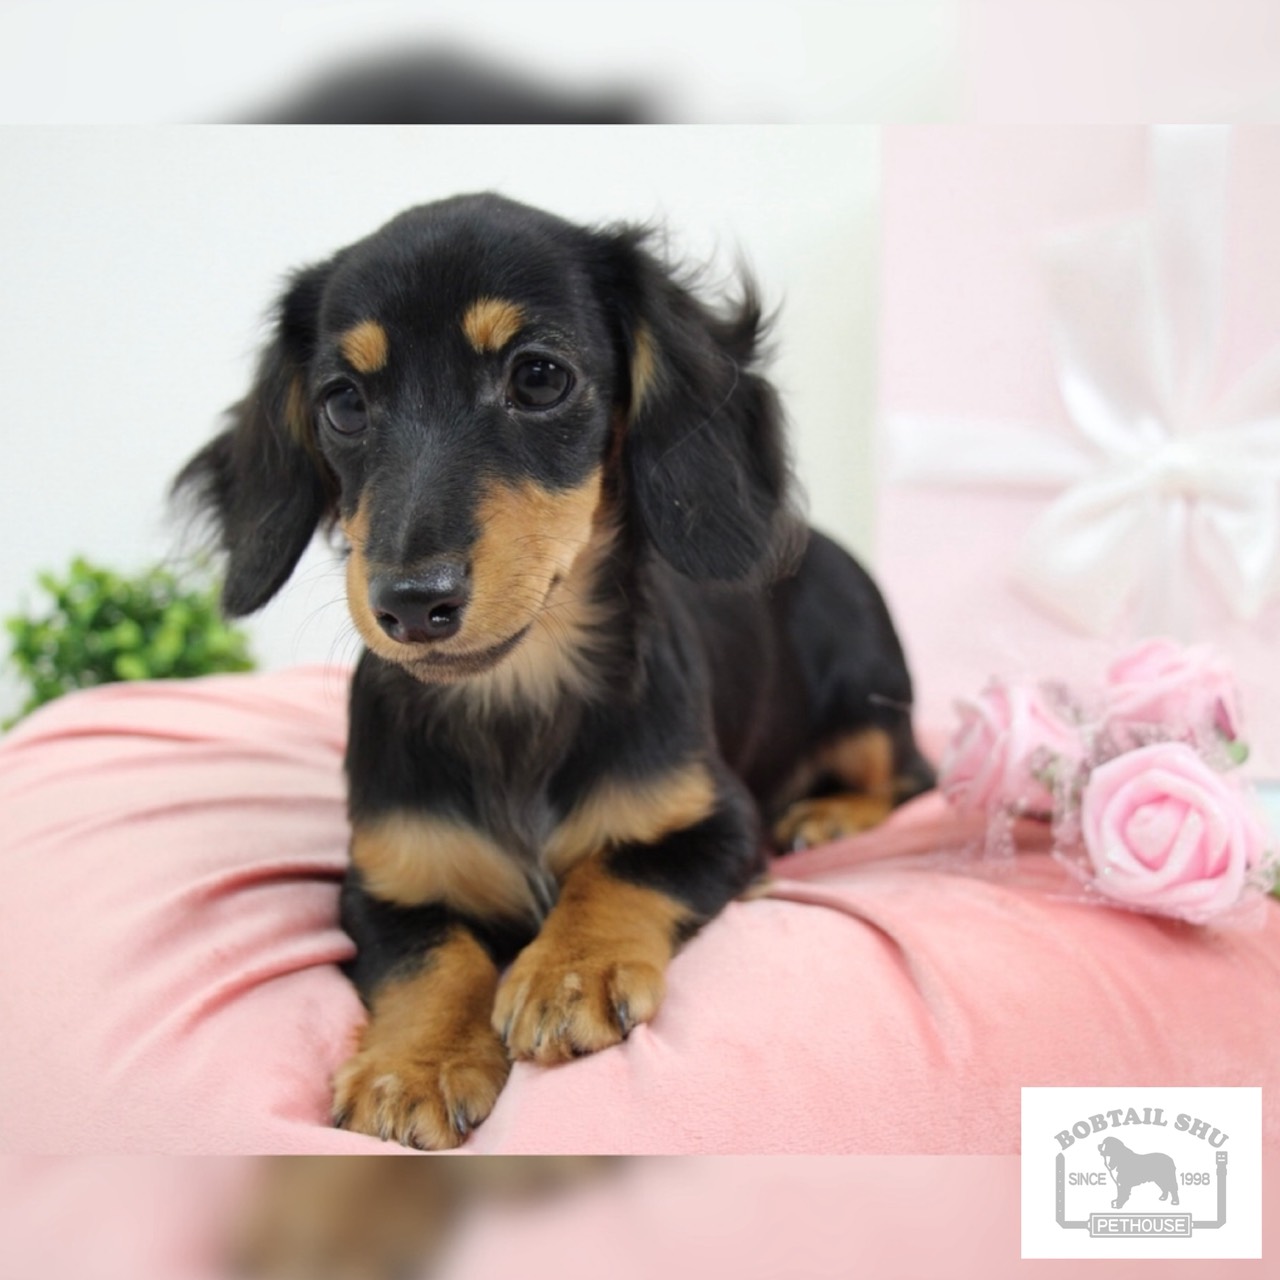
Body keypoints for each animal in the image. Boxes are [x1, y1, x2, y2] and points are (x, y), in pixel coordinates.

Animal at [175, 193, 932, 1149]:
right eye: (343, 402)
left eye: (538, 378)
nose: (410, 604)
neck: (515, 698)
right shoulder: (383, 882)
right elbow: (433, 956)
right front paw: (414, 1065)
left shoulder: (717, 821)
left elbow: (619, 869)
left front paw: (572, 972)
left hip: (871, 704)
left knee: (910, 774)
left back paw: (828, 815)